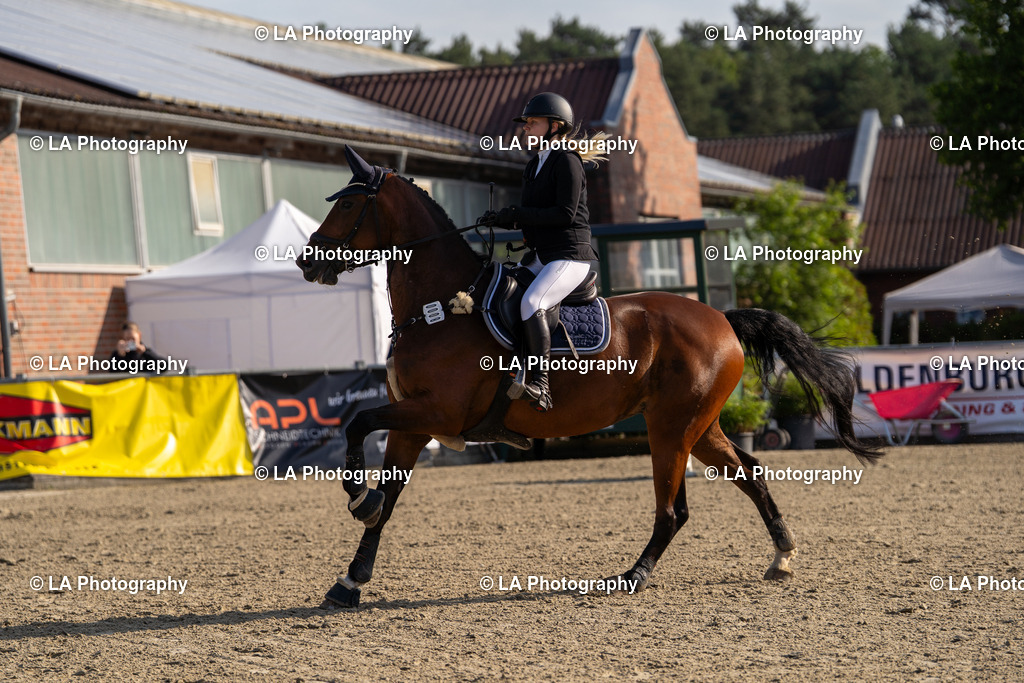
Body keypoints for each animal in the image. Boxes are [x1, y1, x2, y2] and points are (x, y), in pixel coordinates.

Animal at [297, 146, 883, 608]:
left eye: (347, 204)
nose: (307, 263)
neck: (439, 306)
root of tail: (720, 318)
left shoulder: (435, 413)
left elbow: (355, 422)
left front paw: (357, 497)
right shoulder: (414, 424)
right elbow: (387, 497)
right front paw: (351, 579)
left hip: (670, 429)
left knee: (673, 510)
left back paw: (634, 575)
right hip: (698, 426)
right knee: (750, 473)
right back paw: (782, 555)